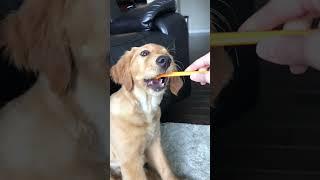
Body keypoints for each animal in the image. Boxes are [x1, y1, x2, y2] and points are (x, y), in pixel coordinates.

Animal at [110, 43, 182, 180]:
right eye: (144, 53)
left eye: (169, 54)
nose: (166, 60)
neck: (146, 108)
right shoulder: (130, 161)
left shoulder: (154, 145)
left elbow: (166, 170)